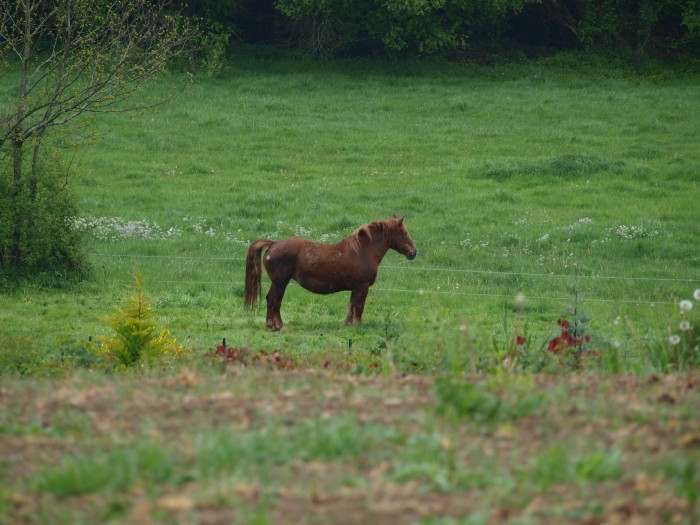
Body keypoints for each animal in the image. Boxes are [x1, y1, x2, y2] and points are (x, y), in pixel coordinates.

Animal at [245, 215, 416, 330]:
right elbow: (359, 307)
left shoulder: (355, 288)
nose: (414, 252)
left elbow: (351, 306)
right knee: (274, 301)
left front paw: (348, 324)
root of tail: (273, 244)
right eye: (405, 233)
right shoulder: (362, 287)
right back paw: (278, 326)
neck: (362, 251)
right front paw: (357, 325)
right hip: (280, 283)